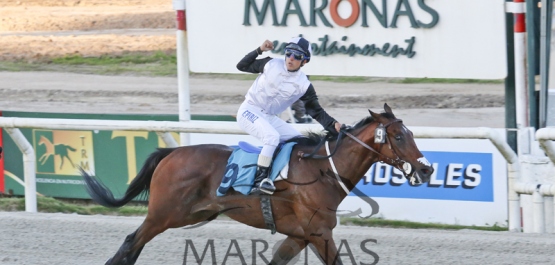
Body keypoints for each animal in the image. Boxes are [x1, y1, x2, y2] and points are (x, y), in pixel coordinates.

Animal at [81, 103, 434, 264]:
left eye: (411, 134)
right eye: (399, 136)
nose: (427, 169)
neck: (323, 170)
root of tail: (172, 152)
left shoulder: (301, 234)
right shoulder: (319, 232)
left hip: (191, 213)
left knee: (135, 245)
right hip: (164, 214)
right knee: (131, 242)